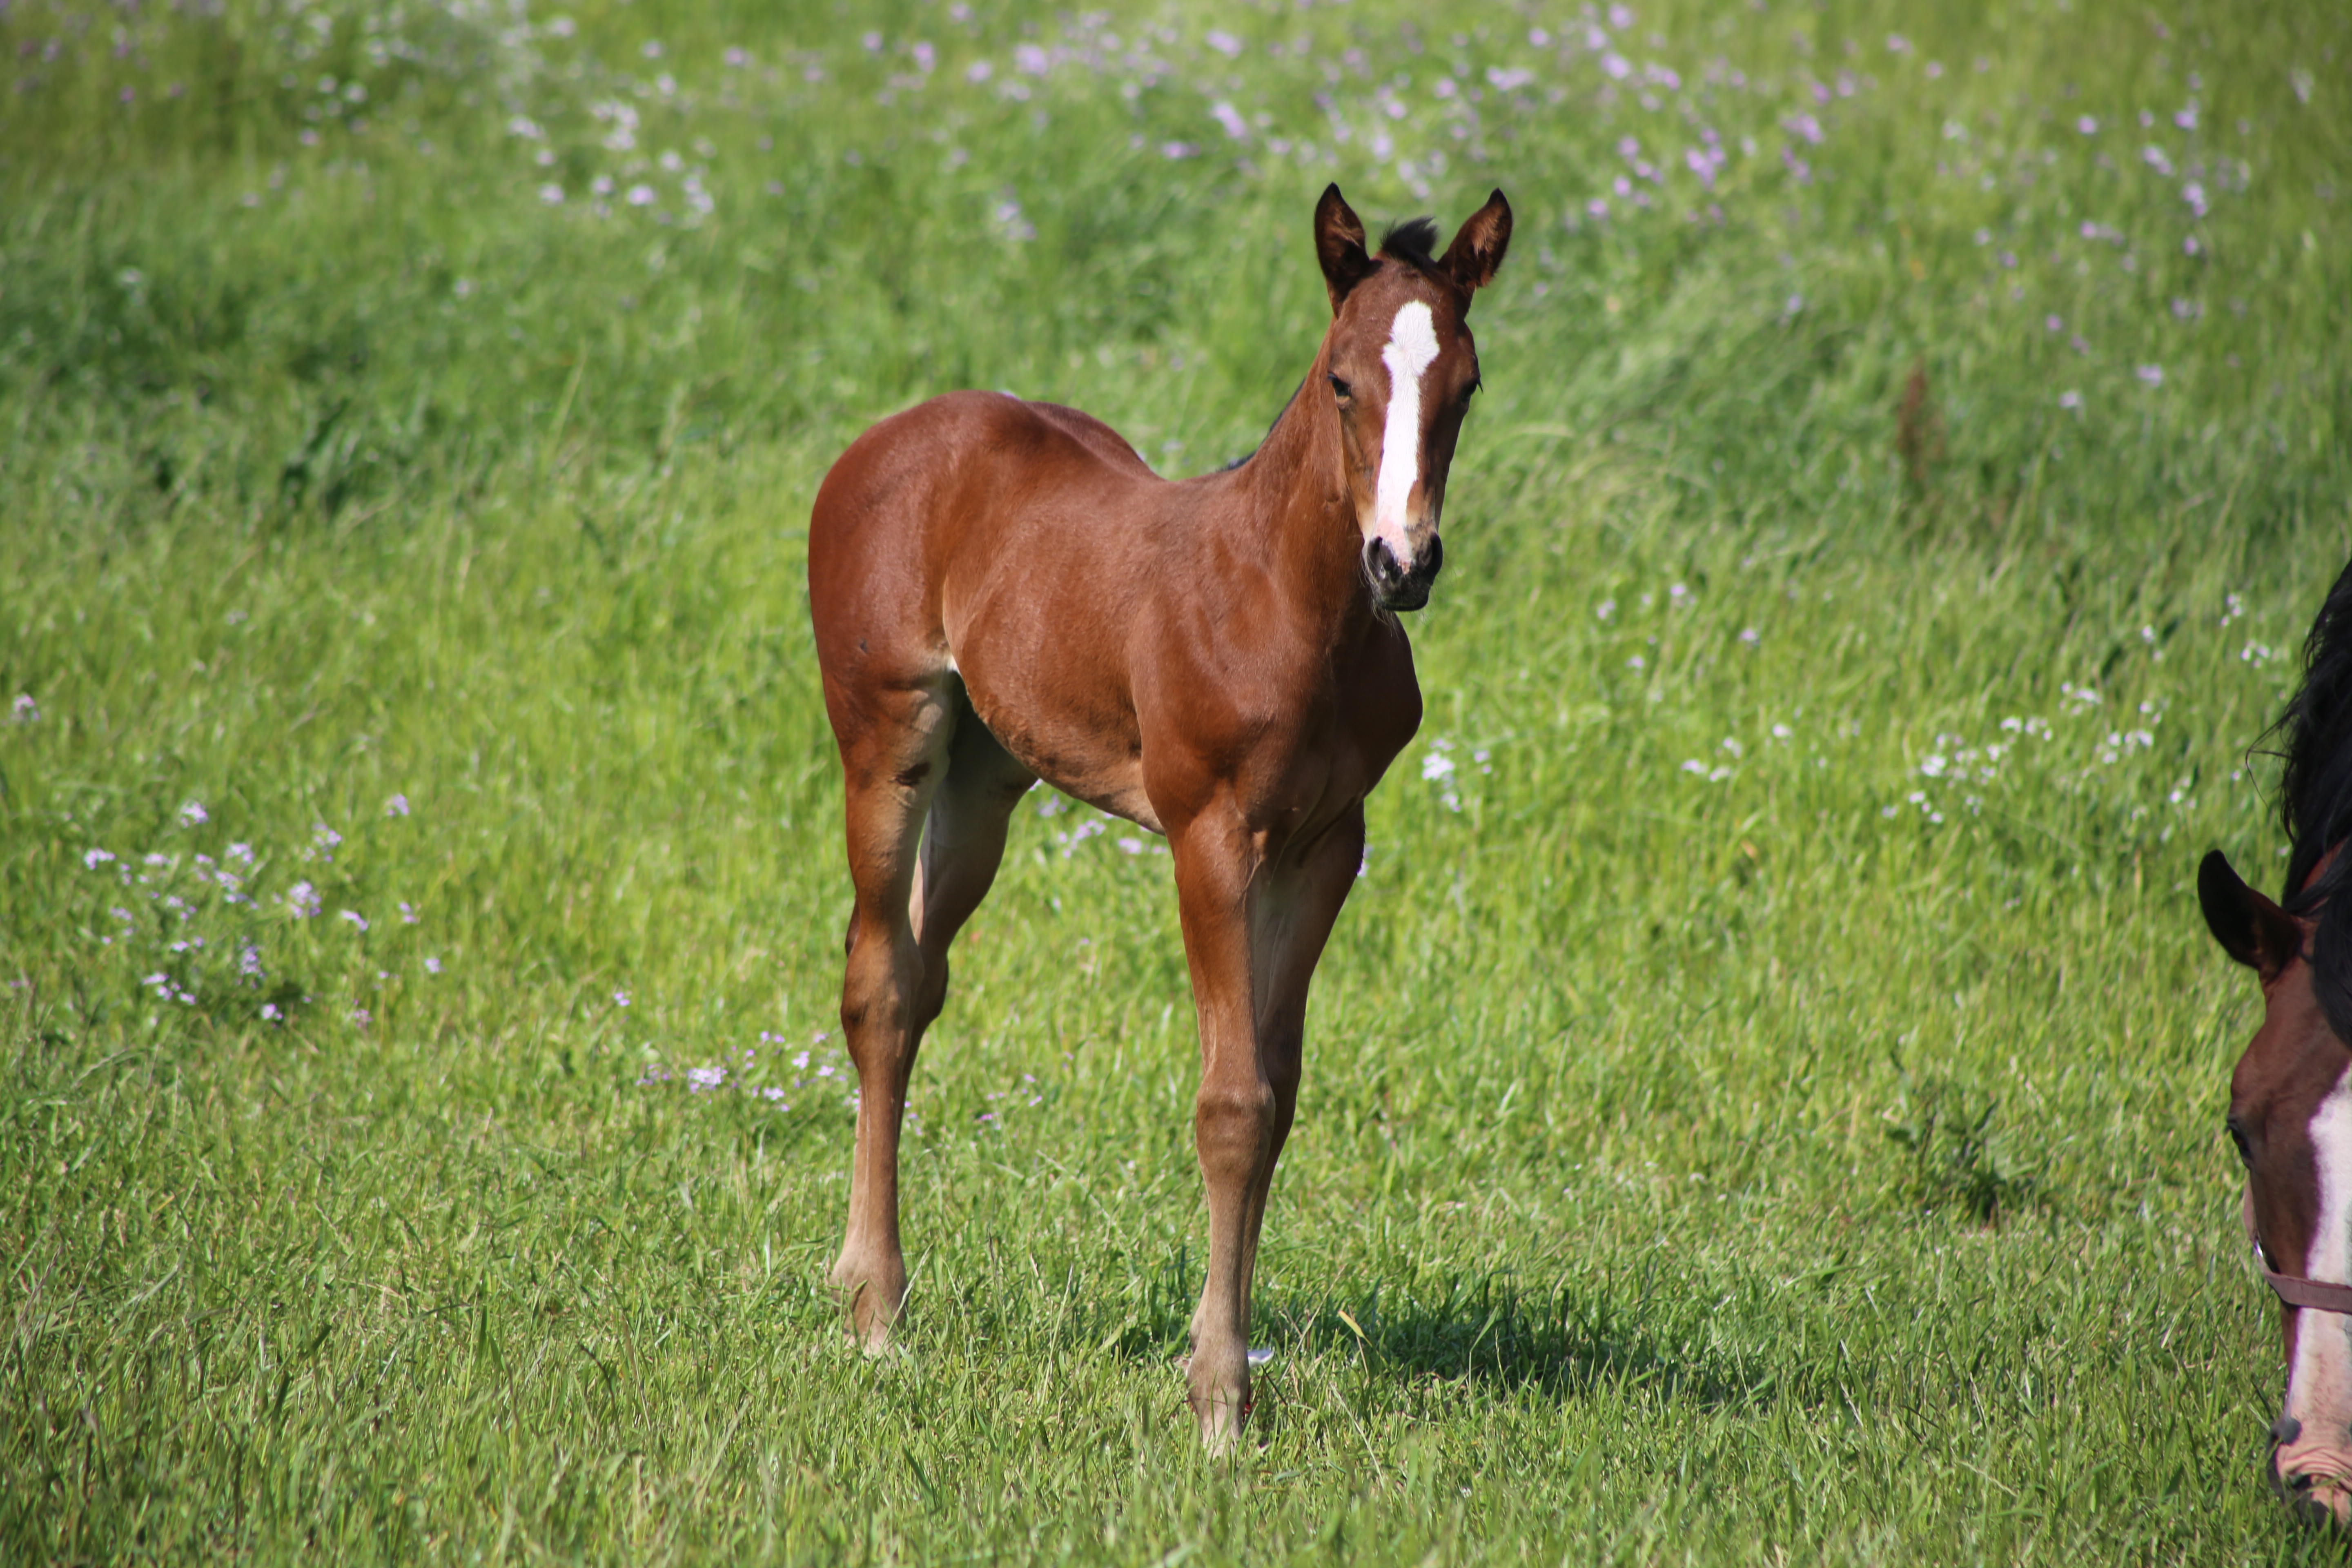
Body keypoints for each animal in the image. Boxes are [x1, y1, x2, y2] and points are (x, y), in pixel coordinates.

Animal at [804, 184, 1505, 1448]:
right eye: (1340, 380)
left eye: (1465, 384)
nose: (1403, 562)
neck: (1291, 603)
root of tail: (888, 436)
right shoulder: (1210, 835)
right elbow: (1230, 1103)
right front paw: (1219, 1398)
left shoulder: (1327, 845)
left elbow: (1277, 1095)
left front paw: (1227, 1365)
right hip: (886, 736)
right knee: (878, 986)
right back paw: (877, 1313)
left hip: (987, 776)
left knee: (920, 979)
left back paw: (862, 1283)